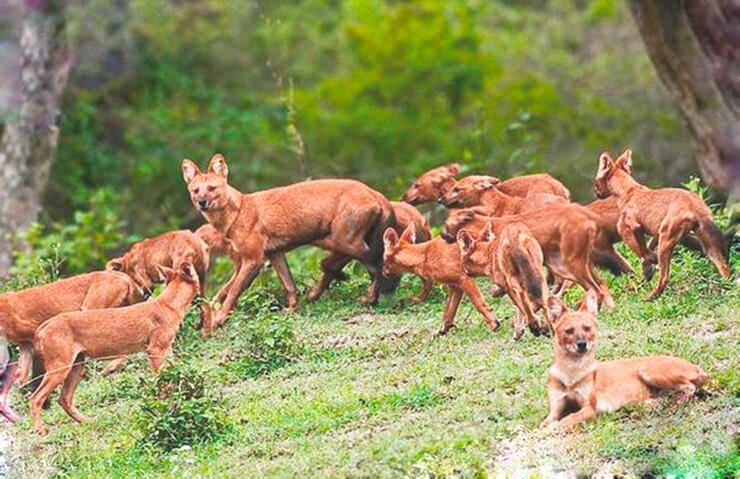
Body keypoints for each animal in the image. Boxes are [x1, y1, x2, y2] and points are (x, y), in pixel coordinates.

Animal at [30, 262, 199, 436]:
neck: (169, 305)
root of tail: (44, 325)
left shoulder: (167, 347)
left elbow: (174, 371)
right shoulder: (155, 349)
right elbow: (161, 378)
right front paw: (164, 401)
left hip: (77, 366)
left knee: (63, 398)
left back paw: (87, 422)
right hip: (60, 368)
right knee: (35, 398)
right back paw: (40, 429)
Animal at [181, 154, 396, 326]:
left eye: (212, 188)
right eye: (196, 190)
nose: (202, 202)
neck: (237, 212)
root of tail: (374, 192)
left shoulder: (253, 260)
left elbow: (233, 291)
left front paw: (218, 319)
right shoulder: (274, 254)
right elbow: (288, 284)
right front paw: (291, 309)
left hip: (343, 240)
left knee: (376, 261)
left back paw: (369, 298)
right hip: (342, 240)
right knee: (351, 263)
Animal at [544, 290, 712, 430]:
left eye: (587, 328)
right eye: (569, 331)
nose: (582, 344)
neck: (571, 374)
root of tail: (695, 366)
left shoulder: (589, 408)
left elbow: (566, 420)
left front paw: (552, 429)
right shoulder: (555, 409)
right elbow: (545, 422)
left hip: (648, 371)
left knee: (689, 387)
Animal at [596, 150, 728, 300]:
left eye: (596, 182)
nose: (596, 192)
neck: (629, 190)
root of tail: (695, 205)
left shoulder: (629, 227)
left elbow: (642, 250)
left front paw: (648, 266)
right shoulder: (655, 232)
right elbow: (646, 248)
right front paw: (646, 271)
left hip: (666, 240)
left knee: (665, 278)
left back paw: (650, 297)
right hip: (701, 241)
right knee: (723, 266)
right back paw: (727, 286)